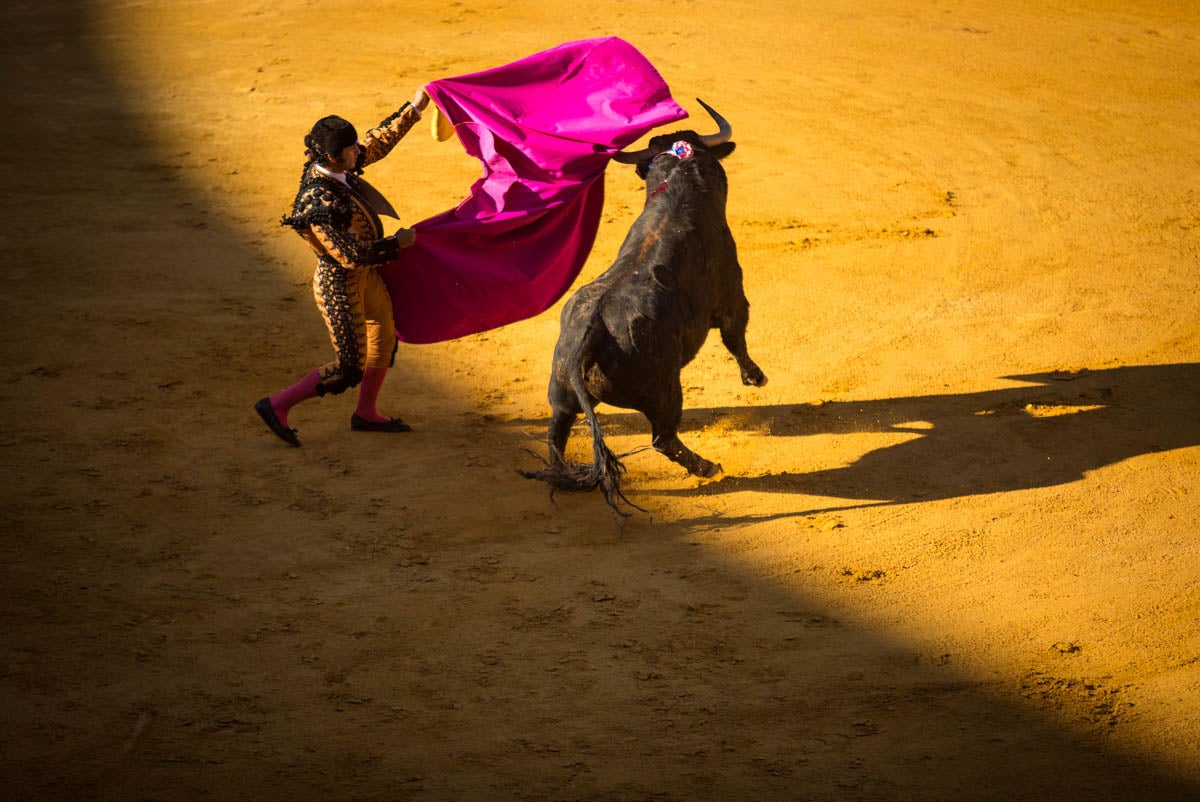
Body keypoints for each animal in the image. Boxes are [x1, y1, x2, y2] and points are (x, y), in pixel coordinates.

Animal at [518, 100, 763, 516]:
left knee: (556, 439)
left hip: (561, 396)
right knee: (663, 438)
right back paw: (709, 467)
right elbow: (736, 338)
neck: (680, 192)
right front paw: (755, 377)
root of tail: (591, 334)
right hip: (666, 391)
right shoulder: (732, 295)